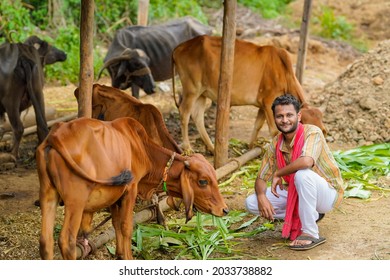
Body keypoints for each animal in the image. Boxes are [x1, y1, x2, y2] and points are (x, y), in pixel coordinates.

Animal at [37, 116, 229, 260]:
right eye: (203, 181)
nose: (224, 209)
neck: (142, 149)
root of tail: (55, 135)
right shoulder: (131, 189)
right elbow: (126, 227)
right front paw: (128, 257)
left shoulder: (115, 196)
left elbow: (115, 224)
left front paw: (120, 254)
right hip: (75, 201)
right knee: (66, 242)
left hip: (48, 195)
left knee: (46, 242)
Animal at [171, 35, 326, 154]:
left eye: (323, 132)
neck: (283, 71)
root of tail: (178, 48)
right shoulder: (268, 101)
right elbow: (274, 132)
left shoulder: (264, 105)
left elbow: (257, 125)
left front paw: (251, 147)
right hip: (191, 89)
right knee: (184, 113)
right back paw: (188, 148)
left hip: (202, 93)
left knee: (197, 116)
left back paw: (211, 148)